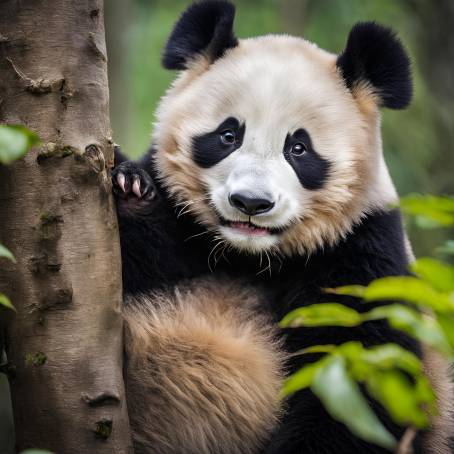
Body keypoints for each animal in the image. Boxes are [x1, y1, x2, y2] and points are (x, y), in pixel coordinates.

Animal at [111, 1, 452, 452]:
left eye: (299, 148)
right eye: (228, 135)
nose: (251, 203)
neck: (249, 256)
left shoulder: (361, 251)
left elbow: (353, 384)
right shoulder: (178, 221)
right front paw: (130, 186)